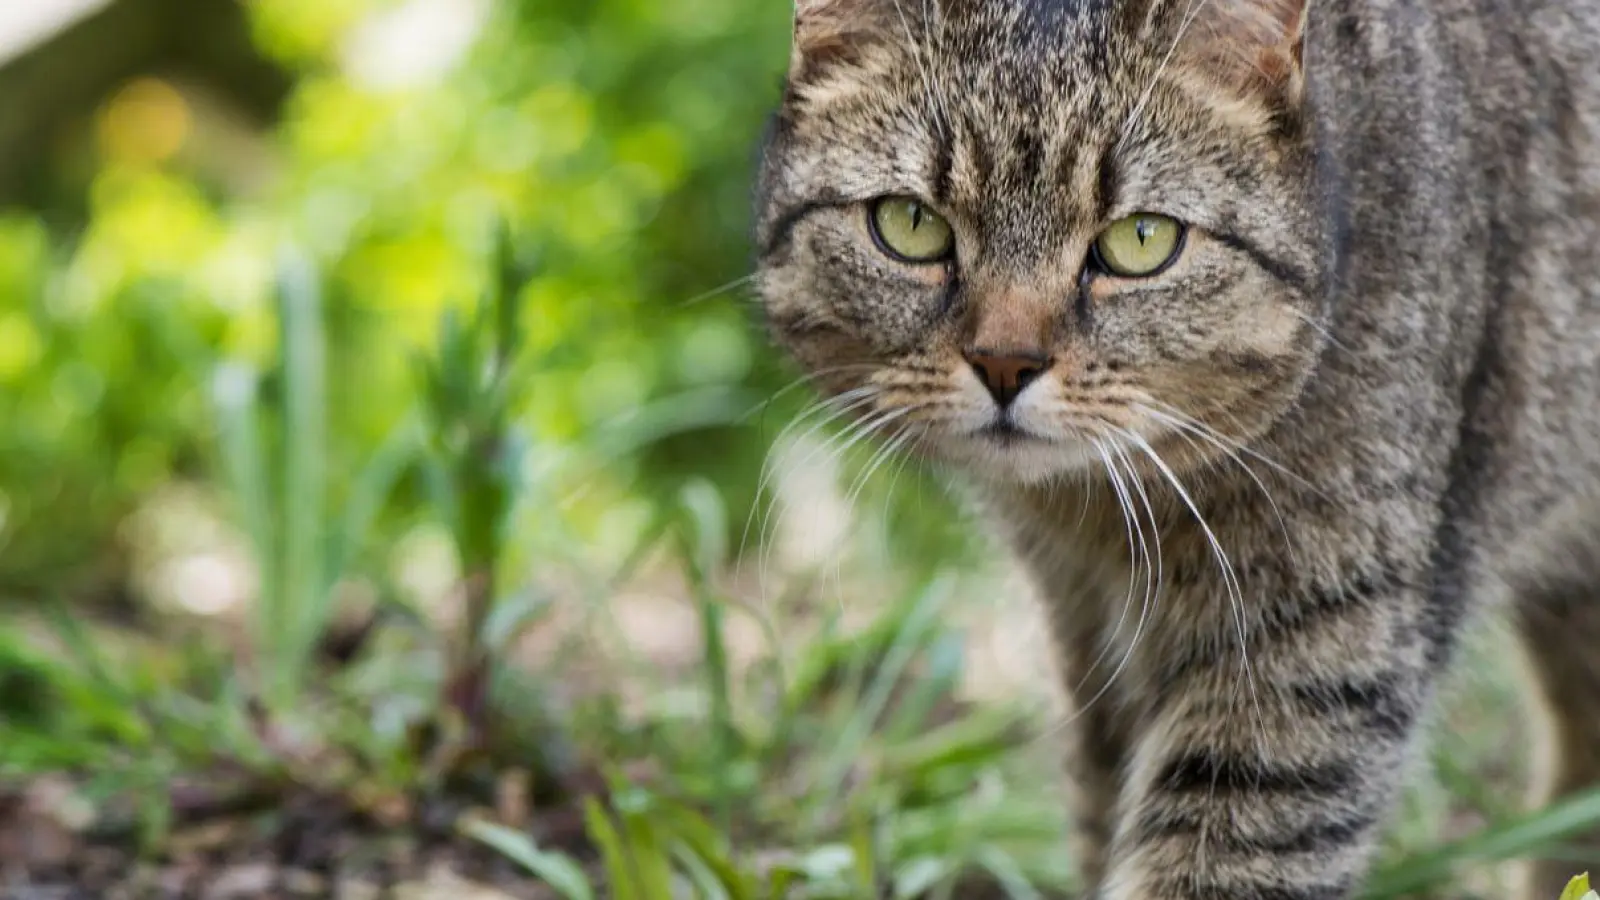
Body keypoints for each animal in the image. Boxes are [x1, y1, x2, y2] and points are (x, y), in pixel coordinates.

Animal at [748, 0, 1600, 890]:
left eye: (1142, 241)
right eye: (911, 225)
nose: (1006, 362)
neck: (1106, 522)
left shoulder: (1314, 651)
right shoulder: (1087, 635)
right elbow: (1101, 817)